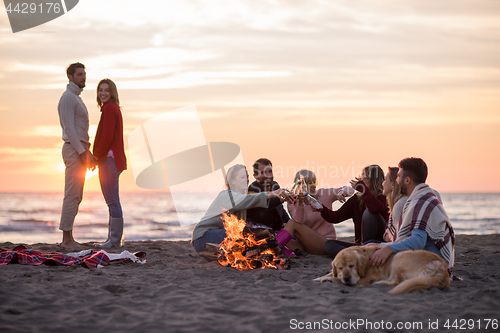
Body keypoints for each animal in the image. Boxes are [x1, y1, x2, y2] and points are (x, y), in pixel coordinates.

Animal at [314, 244, 452, 294]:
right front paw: (320, 277)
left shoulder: (364, 279)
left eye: (352, 266)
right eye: (340, 268)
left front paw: (329, 279)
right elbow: (331, 274)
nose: (347, 278)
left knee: (398, 282)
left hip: (399, 257)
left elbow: (337, 279)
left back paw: (379, 283)